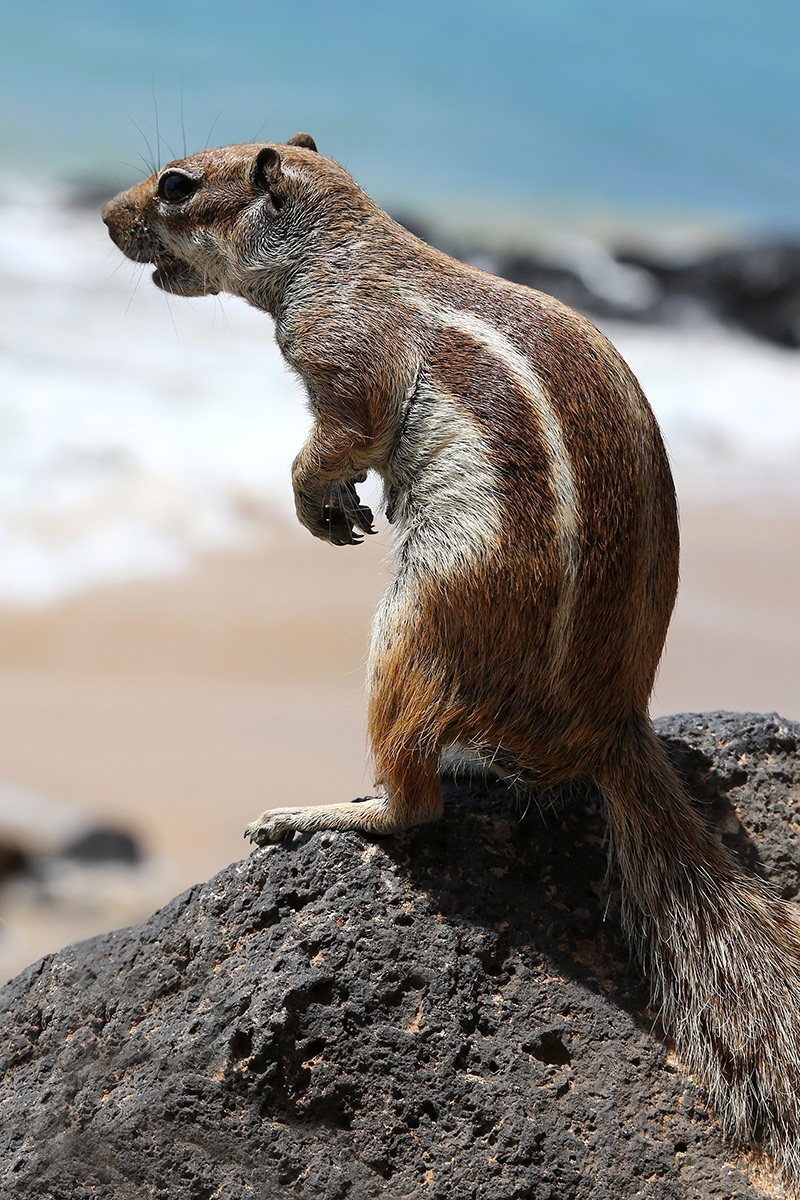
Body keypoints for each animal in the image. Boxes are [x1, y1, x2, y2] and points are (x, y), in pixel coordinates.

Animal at [103, 133, 800, 1189]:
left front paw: (311, 497)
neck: (344, 251)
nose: (105, 218)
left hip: (421, 614)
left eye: (177, 186)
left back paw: (323, 812)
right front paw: (337, 505)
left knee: (416, 802)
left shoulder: (345, 354)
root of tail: (614, 723)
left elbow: (338, 434)